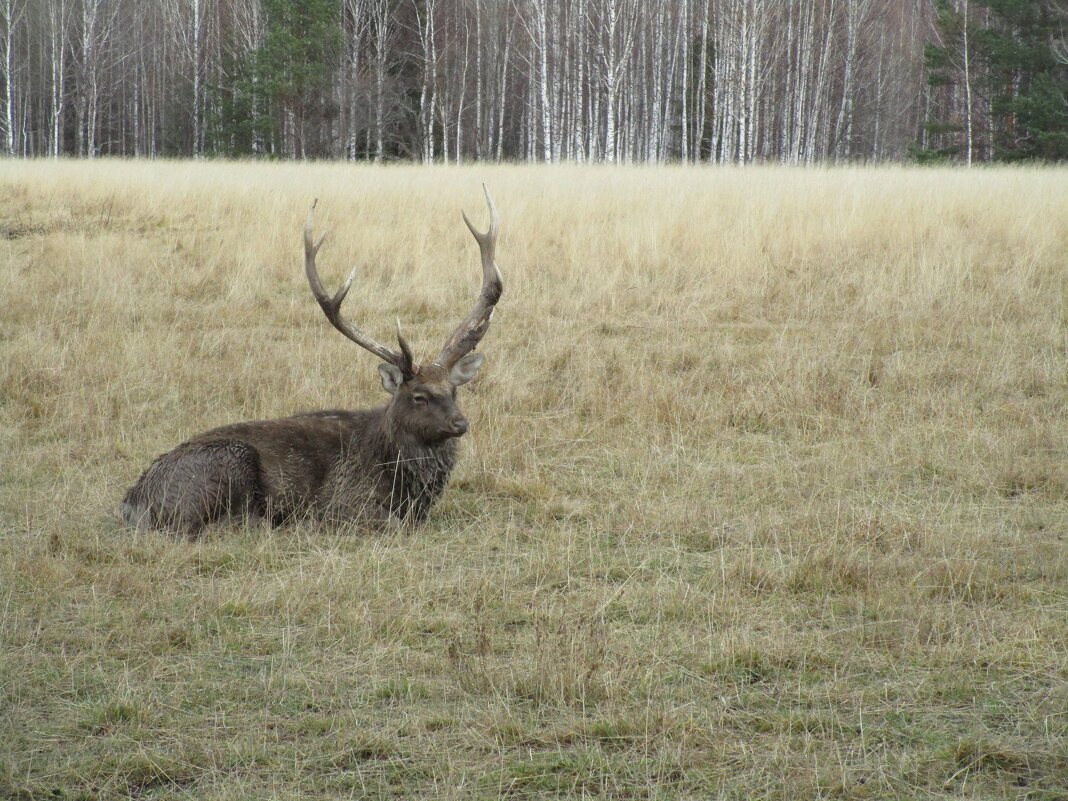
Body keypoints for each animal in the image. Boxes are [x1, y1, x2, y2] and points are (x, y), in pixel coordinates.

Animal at [119, 189, 501, 540]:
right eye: (419, 396)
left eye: (453, 390)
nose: (460, 423)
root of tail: (134, 502)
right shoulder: (349, 502)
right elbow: (392, 524)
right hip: (227, 463)